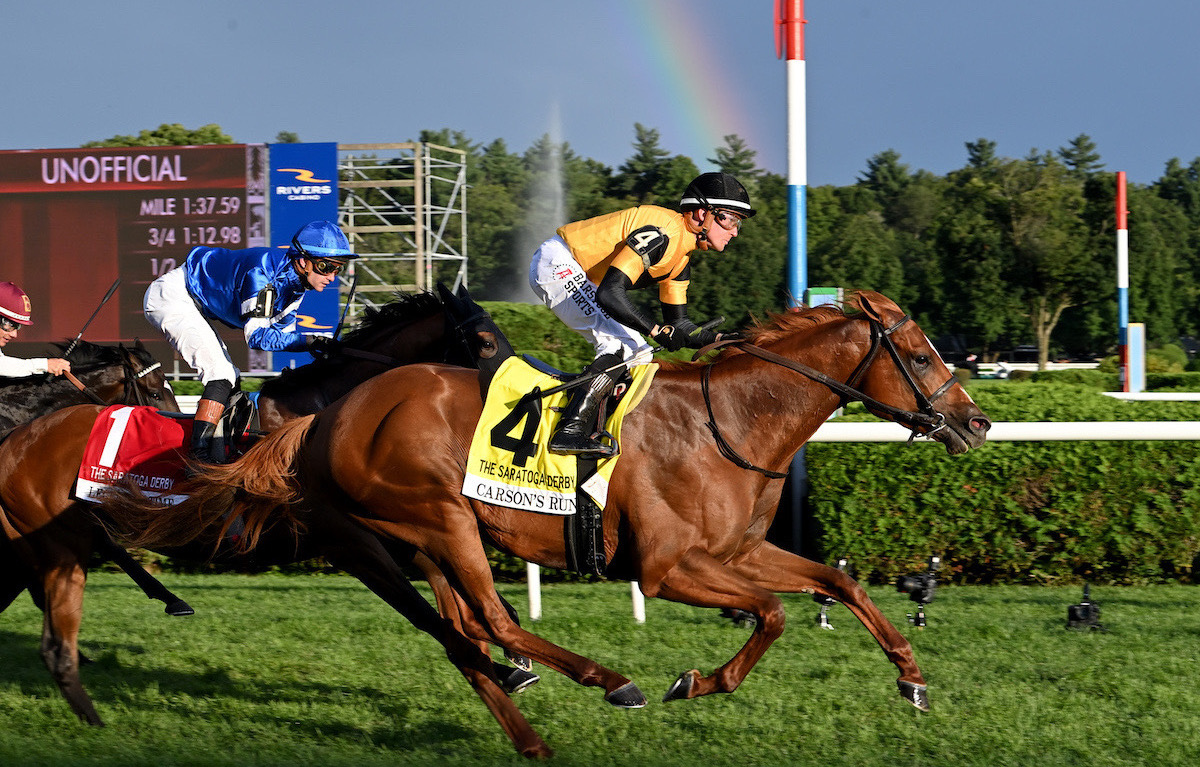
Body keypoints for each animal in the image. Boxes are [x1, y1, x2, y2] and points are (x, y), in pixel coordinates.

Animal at [103, 290, 988, 758]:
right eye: (919, 352)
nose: (975, 423)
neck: (729, 419)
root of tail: (325, 416)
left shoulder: (739, 550)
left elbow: (835, 580)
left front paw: (912, 677)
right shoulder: (668, 567)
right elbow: (769, 613)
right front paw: (695, 679)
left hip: (427, 537)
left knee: (465, 630)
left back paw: (528, 722)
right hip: (432, 521)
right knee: (488, 622)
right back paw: (609, 680)